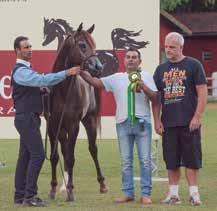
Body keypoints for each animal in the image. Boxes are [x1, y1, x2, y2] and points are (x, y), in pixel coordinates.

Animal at [45, 22, 107, 201]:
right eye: (82, 45)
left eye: (94, 45)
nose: (98, 67)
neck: (62, 91)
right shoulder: (52, 126)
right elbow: (55, 156)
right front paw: (53, 189)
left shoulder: (74, 126)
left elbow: (71, 158)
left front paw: (71, 191)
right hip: (61, 130)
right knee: (64, 151)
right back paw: (63, 186)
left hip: (89, 121)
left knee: (93, 149)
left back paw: (102, 184)